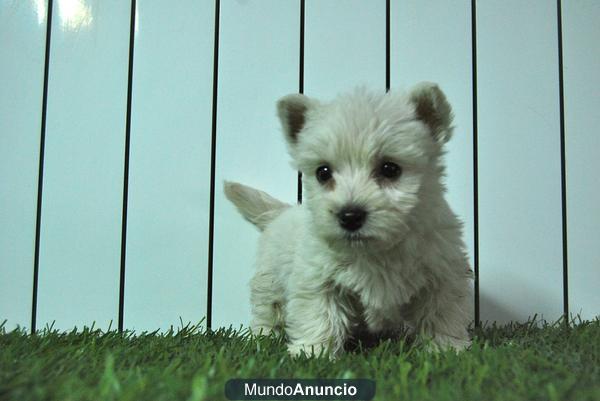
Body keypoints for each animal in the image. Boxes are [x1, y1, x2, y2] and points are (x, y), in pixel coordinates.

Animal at [225, 83, 474, 354]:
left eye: (390, 169)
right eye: (323, 172)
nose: (350, 216)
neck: (375, 251)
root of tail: (283, 211)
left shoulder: (442, 276)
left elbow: (441, 314)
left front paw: (445, 350)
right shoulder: (317, 279)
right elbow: (320, 315)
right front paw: (313, 352)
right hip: (269, 281)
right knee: (268, 310)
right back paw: (262, 338)